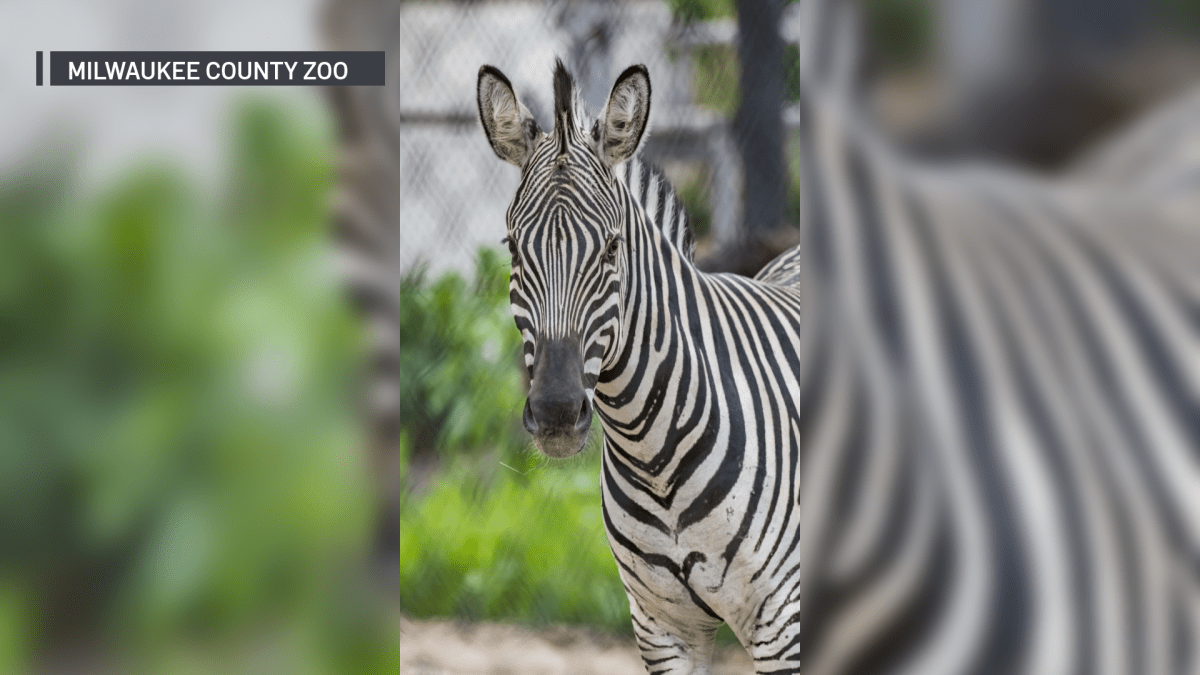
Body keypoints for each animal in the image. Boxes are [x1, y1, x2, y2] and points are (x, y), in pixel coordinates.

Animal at [476, 44, 1200, 675]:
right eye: (512, 247)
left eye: (612, 248)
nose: (557, 412)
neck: (655, 454)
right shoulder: (662, 627)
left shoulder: (785, 623)